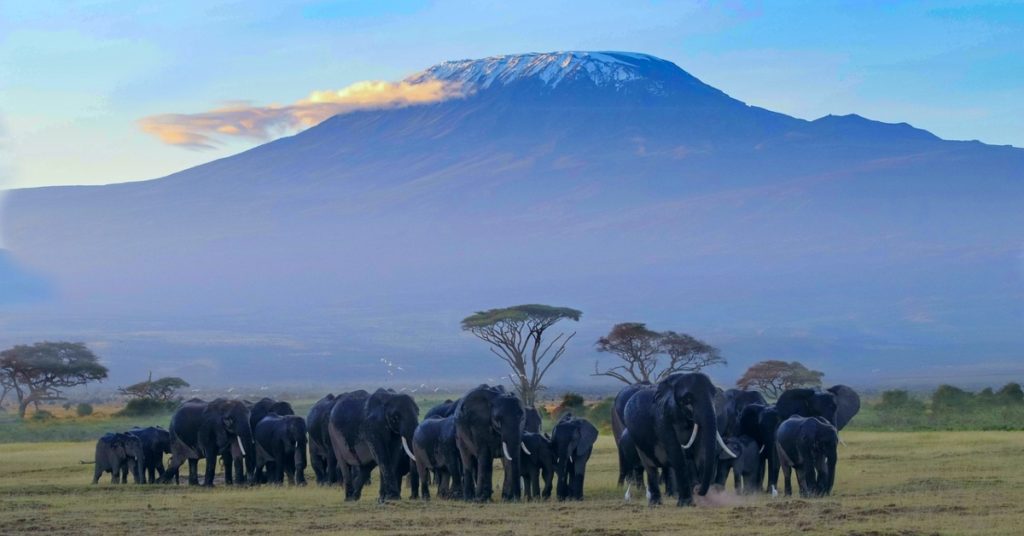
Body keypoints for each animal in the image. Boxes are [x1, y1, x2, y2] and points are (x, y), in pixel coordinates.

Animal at [618, 373, 733, 508]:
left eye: (714, 395)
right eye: (686, 400)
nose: (697, 489)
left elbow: (700, 454)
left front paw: (703, 501)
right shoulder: (661, 419)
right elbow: (677, 454)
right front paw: (686, 504)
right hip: (636, 440)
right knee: (650, 467)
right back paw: (655, 504)